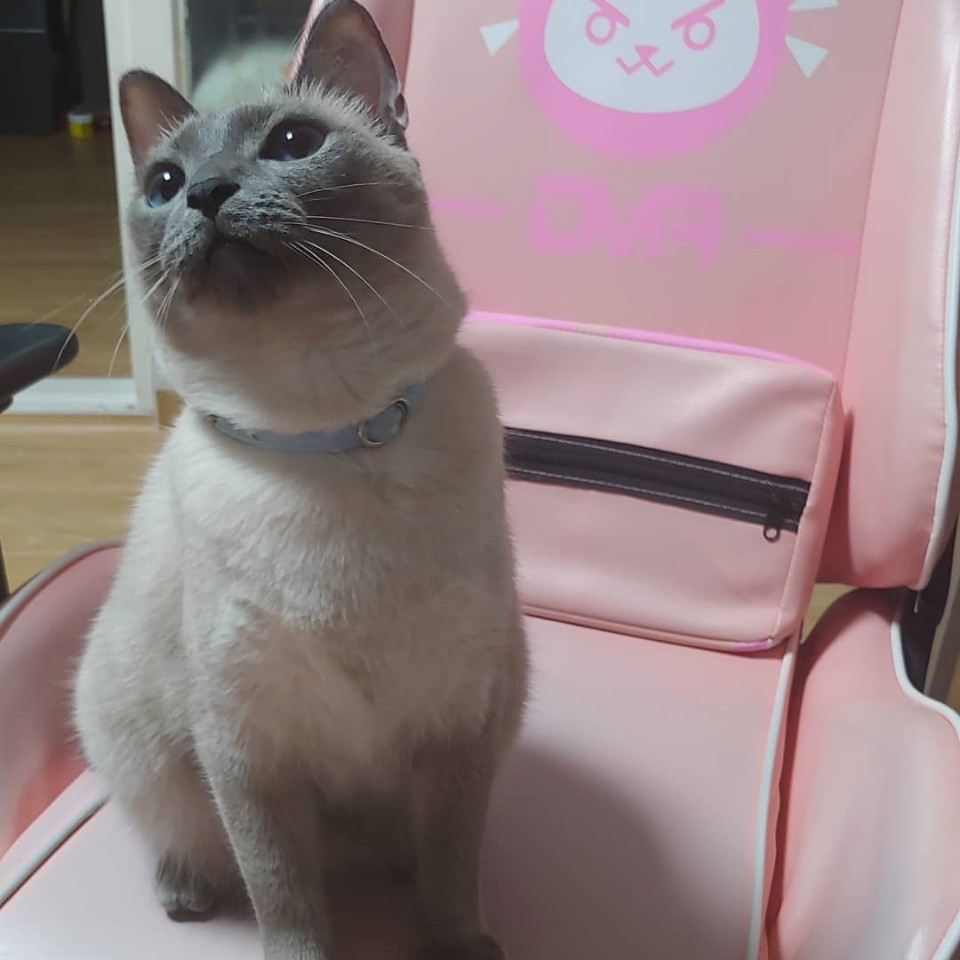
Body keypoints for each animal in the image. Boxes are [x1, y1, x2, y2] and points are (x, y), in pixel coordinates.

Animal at [72, 2, 528, 959]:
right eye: (164, 182)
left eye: (291, 142)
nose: (207, 193)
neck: (329, 434)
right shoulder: (248, 748)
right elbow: (284, 894)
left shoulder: (458, 725)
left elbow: (453, 869)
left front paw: (456, 944)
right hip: (132, 735)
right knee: (189, 837)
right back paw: (186, 892)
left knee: (410, 858)